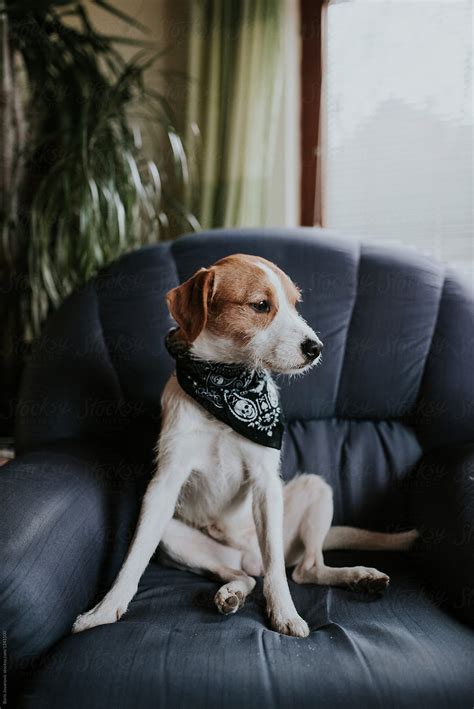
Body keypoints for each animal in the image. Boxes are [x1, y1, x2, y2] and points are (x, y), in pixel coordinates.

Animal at [72, 253, 416, 636]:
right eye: (261, 305)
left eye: (295, 304)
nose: (316, 348)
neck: (225, 383)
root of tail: (246, 554)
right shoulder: (164, 485)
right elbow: (135, 556)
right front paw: (106, 609)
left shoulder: (266, 483)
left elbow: (276, 569)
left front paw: (284, 613)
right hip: (177, 536)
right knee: (249, 576)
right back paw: (231, 592)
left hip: (315, 491)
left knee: (301, 568)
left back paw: (359, 577)